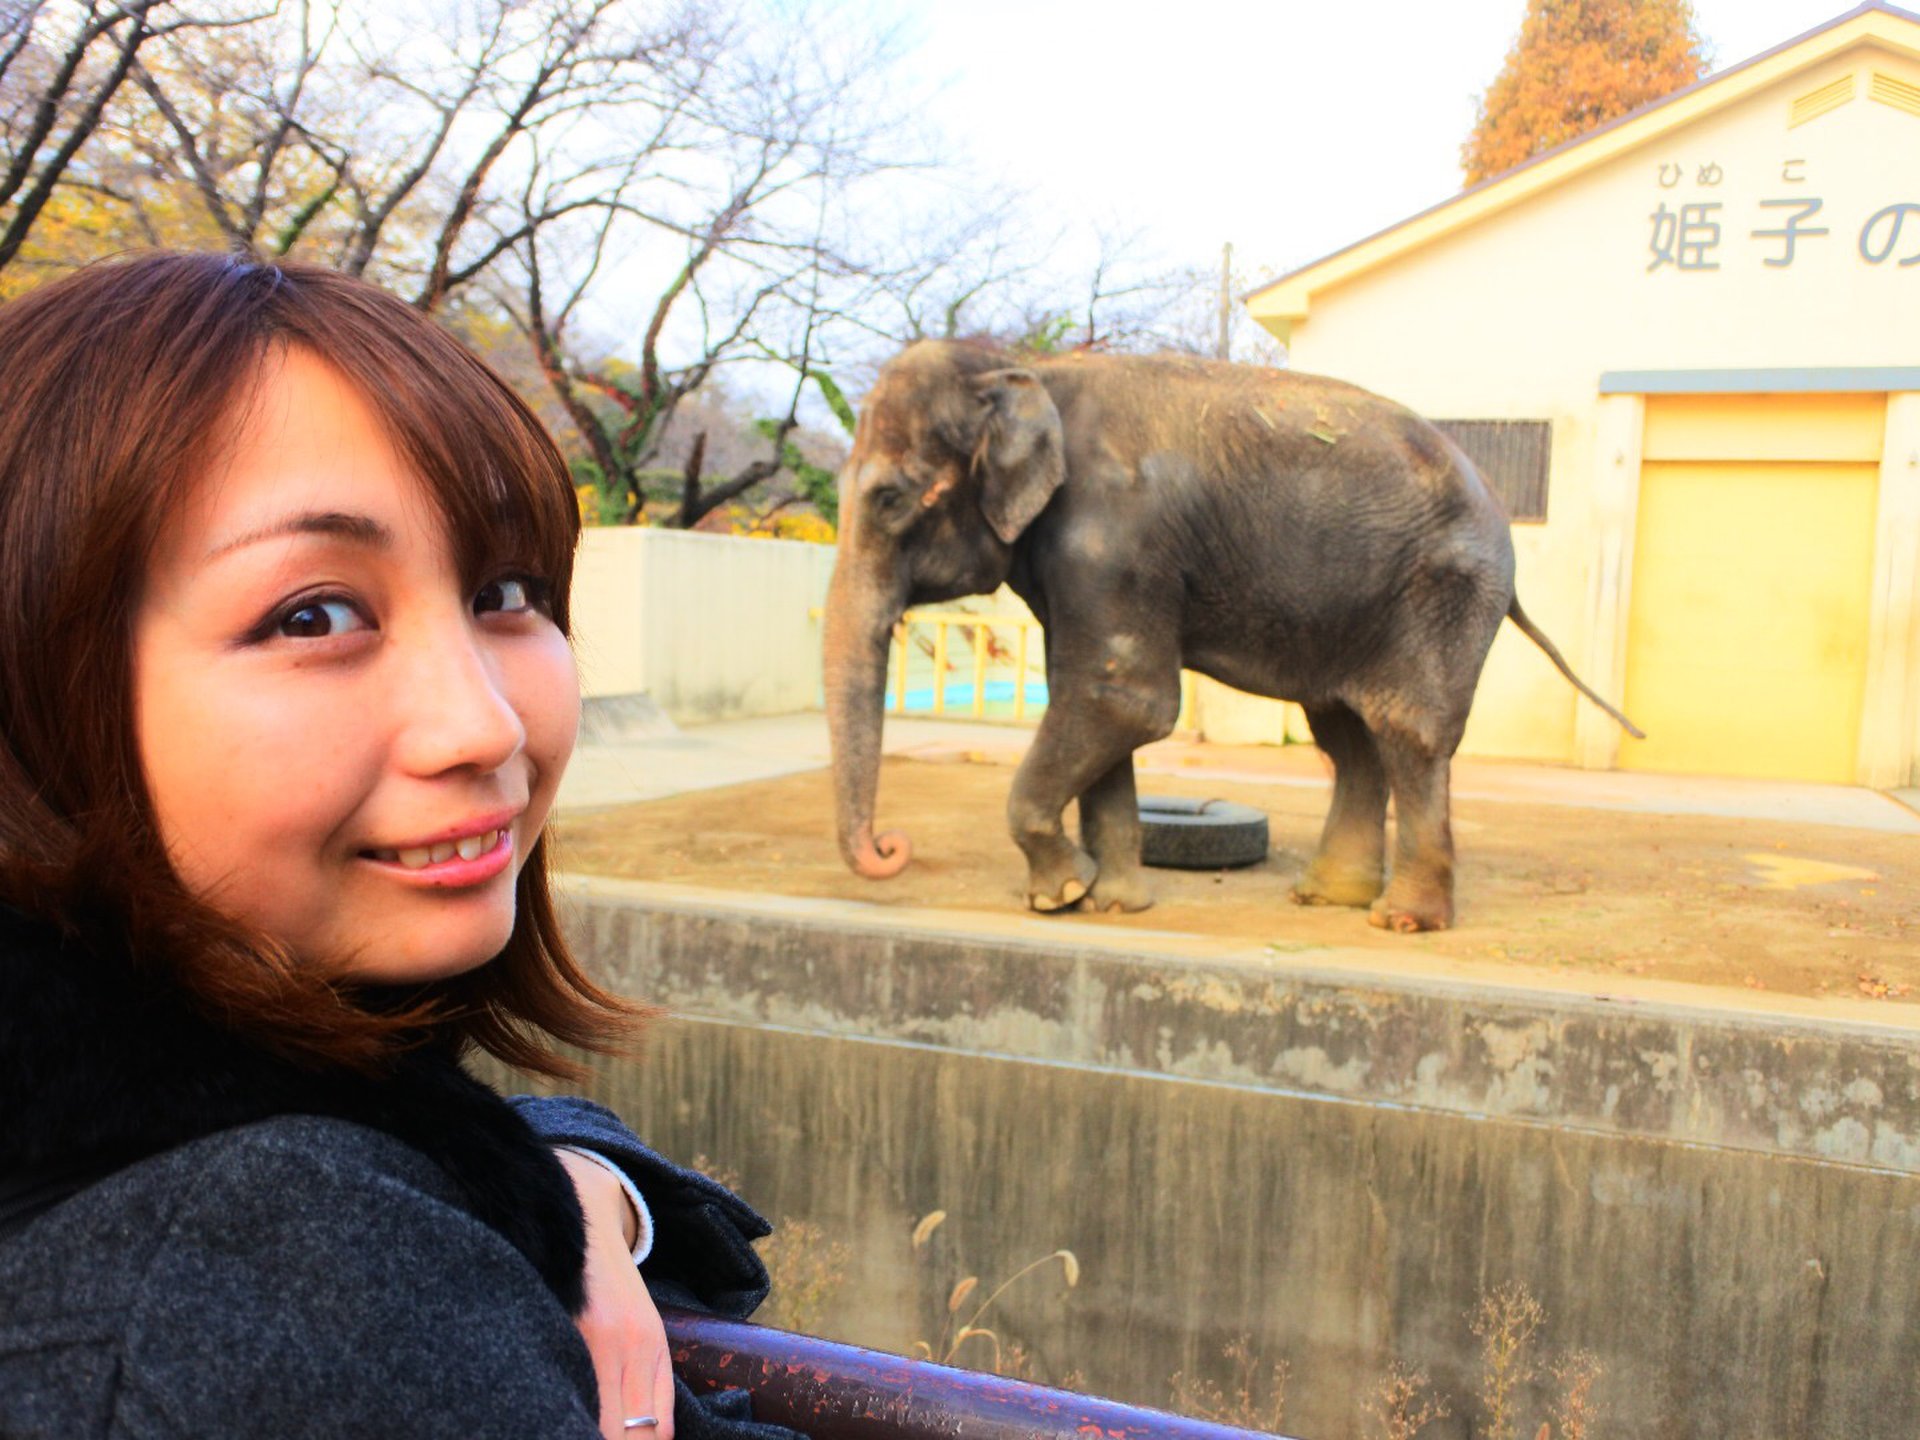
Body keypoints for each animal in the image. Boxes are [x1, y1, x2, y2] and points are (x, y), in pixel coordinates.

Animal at [817, 347, 1643, 936]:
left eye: (890, 498)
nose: (890, 849)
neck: (1022, 367)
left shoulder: (1115, 537)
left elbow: (1126, 699)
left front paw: (1060, 897)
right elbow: (1098, 700)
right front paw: (1111, 905)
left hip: (1445, 591)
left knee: (1407, 732)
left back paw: (1402, 921)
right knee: (1346, 736)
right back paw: (1325, 899)